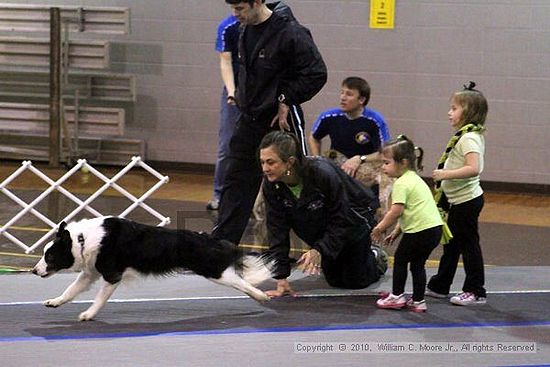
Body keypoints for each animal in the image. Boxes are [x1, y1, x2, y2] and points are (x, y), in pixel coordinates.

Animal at [31, 218, 274, 322]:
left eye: (49, 256)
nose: (34, 271)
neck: (82, 239)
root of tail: (209, 239)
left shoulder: (111, 275)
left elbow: (99, 299)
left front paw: (88, 314)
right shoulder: (90, 273)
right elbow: (70, 290)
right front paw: (55, 301)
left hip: (213, 270)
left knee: (241, 282)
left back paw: (261, 296)